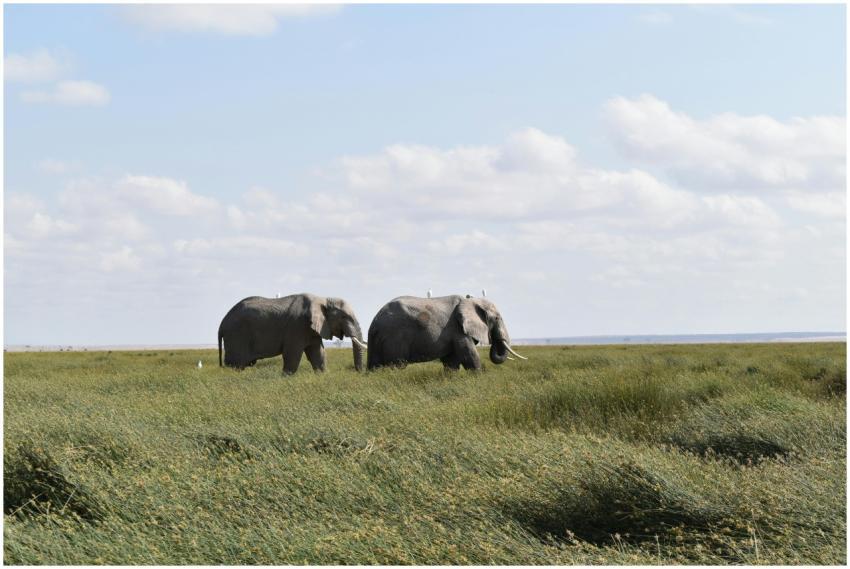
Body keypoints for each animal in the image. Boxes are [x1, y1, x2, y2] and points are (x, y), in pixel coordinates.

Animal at [218, 293, 367, 374]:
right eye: (344, 317)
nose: (358, 372)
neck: (324, 299)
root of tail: (222, 323)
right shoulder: (297, 326)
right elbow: (292, 353)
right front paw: (285, 377)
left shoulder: (312, 329)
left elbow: (318, 354)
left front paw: (323, 374)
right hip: (236, 335)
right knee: (236, 364)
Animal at [366, 295, 527, 371]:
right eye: (497, 318)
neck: (471, 301)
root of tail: (375, 321)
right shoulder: (457, 328)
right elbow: (469, 354)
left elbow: (451, 361)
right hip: (395, 337)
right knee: (396, 364)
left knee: (375, 366)